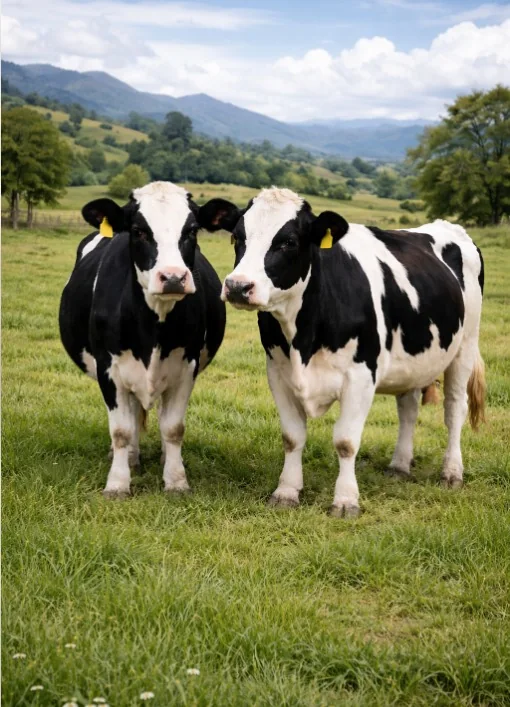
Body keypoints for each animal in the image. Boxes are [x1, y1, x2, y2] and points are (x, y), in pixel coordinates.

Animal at [59, 181, 226, 498]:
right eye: (138, 231)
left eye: (191, 230)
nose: (172, 277)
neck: (153, 326)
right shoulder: (109, 369)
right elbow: (121, 431)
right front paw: (117, 484)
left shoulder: (186, 366)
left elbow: (173, 428)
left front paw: (176, 480)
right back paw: (130, 458)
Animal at [199, 187, 486, 517]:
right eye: (237, 237)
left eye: (288, 241)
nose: (237, 286)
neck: (304, 337)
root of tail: (446, 227)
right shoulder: (278, 372)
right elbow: (292, 437)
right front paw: (286, 492)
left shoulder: (361, 377)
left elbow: (346, 441)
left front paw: (346, 501)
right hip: (413, 362)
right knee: (408, 409)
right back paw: (399, 465)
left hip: (465, 345)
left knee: (454, 409)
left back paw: (451, 472)